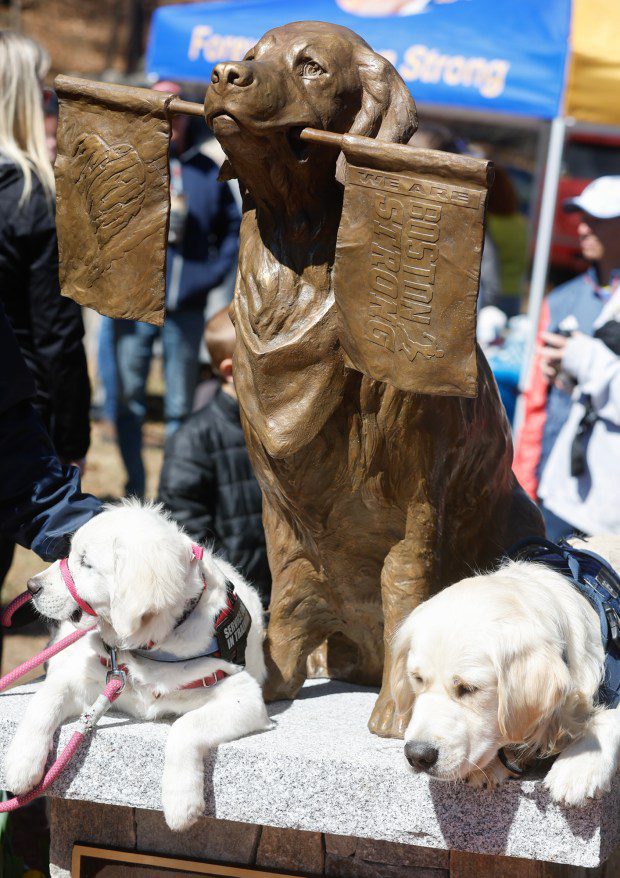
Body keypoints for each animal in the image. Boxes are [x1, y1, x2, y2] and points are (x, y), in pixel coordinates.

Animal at [3, 502, 268, 832]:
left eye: (85, 562)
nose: (31, 587)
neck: (151, 650)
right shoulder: (85, 679)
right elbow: (44, 699)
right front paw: (20, 764)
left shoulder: (244, 694)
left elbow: (186, 725)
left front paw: (181, 801)